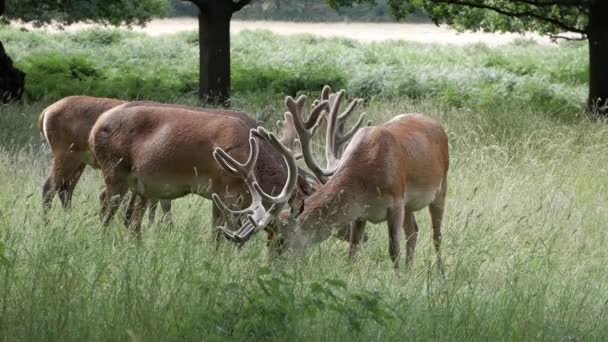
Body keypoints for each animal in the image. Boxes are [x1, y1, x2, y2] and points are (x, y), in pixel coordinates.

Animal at [216, 93, 448, 268]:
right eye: (268, 239)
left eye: (281, 240)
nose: (268, 265)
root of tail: (436, 124)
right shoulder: (360, 213)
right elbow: (352, 252)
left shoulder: (396, 201)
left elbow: (393, 250)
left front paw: (398, 278)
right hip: (410, 205)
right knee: (413, 231)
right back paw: (411, 269)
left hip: (441, 185)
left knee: (436, 235)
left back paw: (439, 271)